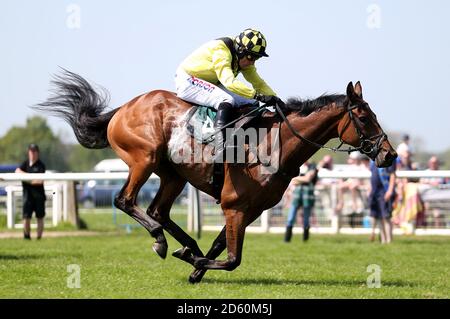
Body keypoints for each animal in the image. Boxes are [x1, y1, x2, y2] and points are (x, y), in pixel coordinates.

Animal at [37, 70, 398, 282]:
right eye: (363, 117)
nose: (390, 155)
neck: (273, 144)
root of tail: (121, 109)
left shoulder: (250, 209)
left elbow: (218, 244)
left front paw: (195, 266)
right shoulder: (234, 205)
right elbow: (233, 259)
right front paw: (194, 262)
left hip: (173, 175)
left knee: (158, 211)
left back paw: (181, 244)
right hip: (144, 158)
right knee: (125, 200)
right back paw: (160, 241)